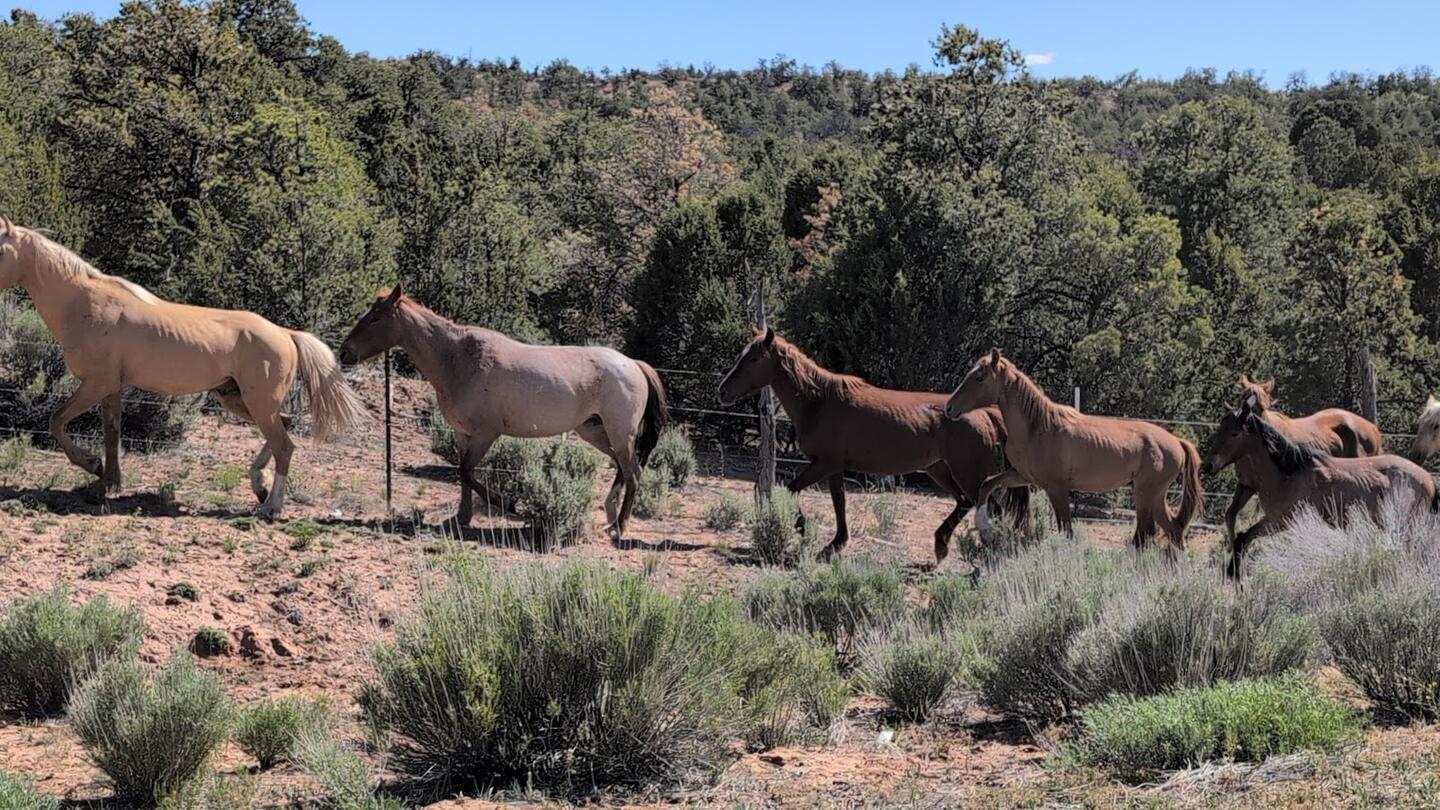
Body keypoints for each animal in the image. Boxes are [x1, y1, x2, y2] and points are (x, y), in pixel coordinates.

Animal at [0, 217, 367, 519]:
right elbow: (111, 433)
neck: (84, 304)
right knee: (285, 429)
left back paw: (271, 508)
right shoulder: (110, 388)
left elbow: (56, 422)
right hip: (238, 399)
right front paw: (105, 482)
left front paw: (92, 466)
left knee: (285, 446)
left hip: (258, 403)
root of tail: (286, 334)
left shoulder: (95, 383)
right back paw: (259, 487)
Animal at [338, 284, 668, 540]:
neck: (459, 359)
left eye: (376, 318)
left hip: (618, 432)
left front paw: (508, 504)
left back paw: (619, 527)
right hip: (593, 430)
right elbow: (463, 473)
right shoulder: (463, 433)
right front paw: (461, 517)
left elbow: (467, 471)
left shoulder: (486, 433)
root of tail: (634, 363)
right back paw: (610, 515)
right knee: (623, 467)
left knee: (633, 472)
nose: (344, 352)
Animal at [716, 326, 1028, 564]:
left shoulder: (824, 463)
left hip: (968, 473)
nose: (722, 391)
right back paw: (941, 545)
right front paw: (835, 543)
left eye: (754, 358)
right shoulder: (835, 467)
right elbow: (838, 501)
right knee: (965, 503)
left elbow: (792, 489)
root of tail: (985, 413)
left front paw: (803, 527)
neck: (819, 402)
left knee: (988, 508)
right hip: (940, 470)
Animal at [944, 348, 1204, 551]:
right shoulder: (1022, 476)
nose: (949, 407)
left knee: (1145, 534)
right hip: (1155, 496)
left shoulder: (1056, 487)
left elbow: (1066, 529)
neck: (1038, 427)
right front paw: (985, 530)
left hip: (1144, 493)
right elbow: (986, 484)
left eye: (979, 377)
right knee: (1174, 531)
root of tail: (1178, 442)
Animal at [1204, 393, 1436, 577]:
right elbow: (1243, 538)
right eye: (1220, 429)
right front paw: (1234, 575)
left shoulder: (1282, 523)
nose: (1208, 465)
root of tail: (1429, 479)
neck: (1289, 473)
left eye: (1234, 433)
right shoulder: (1273, 520)